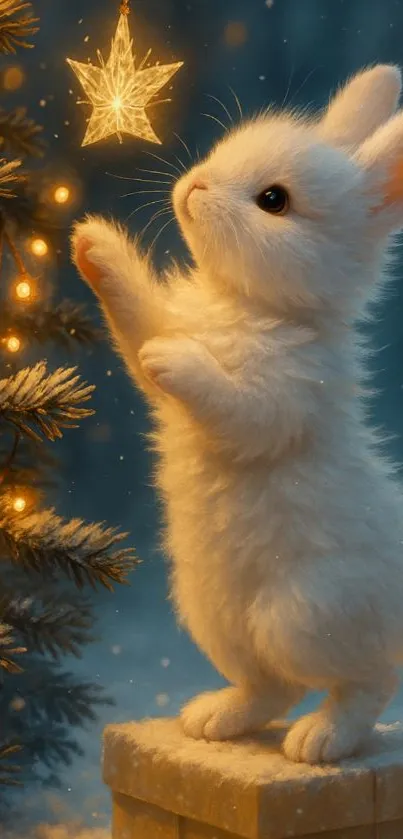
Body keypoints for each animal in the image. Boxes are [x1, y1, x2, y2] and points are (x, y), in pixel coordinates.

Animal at [72, 64, 403, 764]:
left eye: (274, 200)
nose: (195, 184)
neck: (248, 302)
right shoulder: (157, 324)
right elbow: (136, 322)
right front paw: (92, 244)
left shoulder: (284, 396)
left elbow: (232, 403)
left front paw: (175, 359)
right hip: (213, 618)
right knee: (270, 687)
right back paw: (212, 719)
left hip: (299, 618)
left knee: (368, 680)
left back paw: (319, 742)